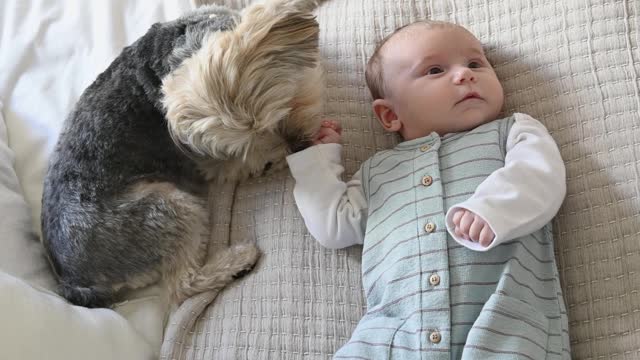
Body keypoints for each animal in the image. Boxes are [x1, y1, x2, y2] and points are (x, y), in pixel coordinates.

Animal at [38, 0, 324, 310]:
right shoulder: (212, 161)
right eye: (254, 135)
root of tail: (73, 281)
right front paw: (273, 159)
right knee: (181, 286)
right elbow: (243, 162)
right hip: (166, 208)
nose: (298, 147)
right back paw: (238, 260)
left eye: (284, 103)